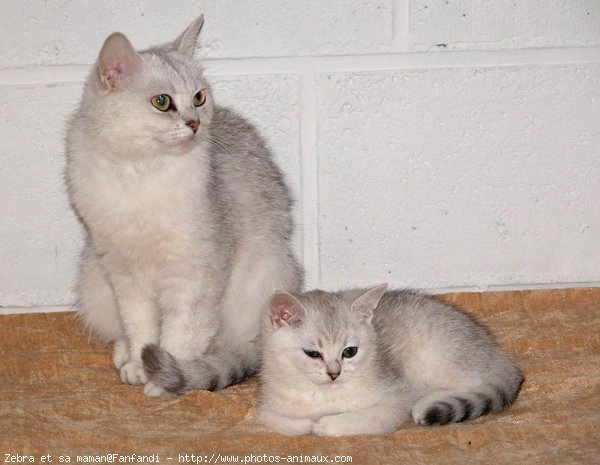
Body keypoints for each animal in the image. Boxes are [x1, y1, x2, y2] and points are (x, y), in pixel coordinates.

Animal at [260, 282, 524, 436]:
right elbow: (280, 421)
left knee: (473, 382)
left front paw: (326, 424)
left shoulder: (394, 399)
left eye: (349, 352)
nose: (334, 373)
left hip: (443, 356)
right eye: (313, 354)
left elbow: (365, 419)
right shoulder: (268, 404)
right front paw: (306, 423)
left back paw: (427, 401)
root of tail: (492, 348)